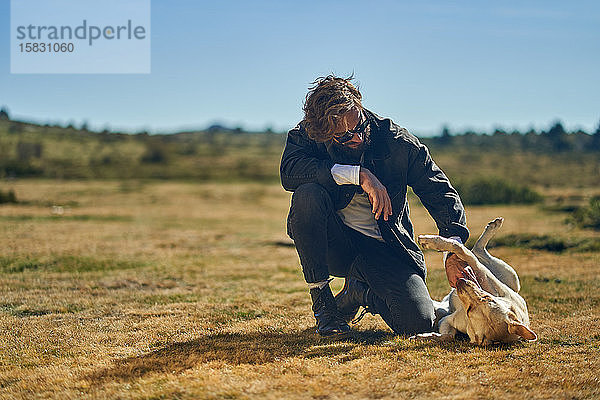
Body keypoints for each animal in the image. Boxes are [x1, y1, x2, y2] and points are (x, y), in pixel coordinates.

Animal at [414, 217, 536, 346]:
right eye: (488, 298)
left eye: (470, 311)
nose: (461, 282)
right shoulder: (487, 280)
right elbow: (460, 248)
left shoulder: (447, 320)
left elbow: (449, 336)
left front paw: (426, 336)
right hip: (511, 277)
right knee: (477, 251)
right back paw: (493, 226)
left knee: (476, 251)